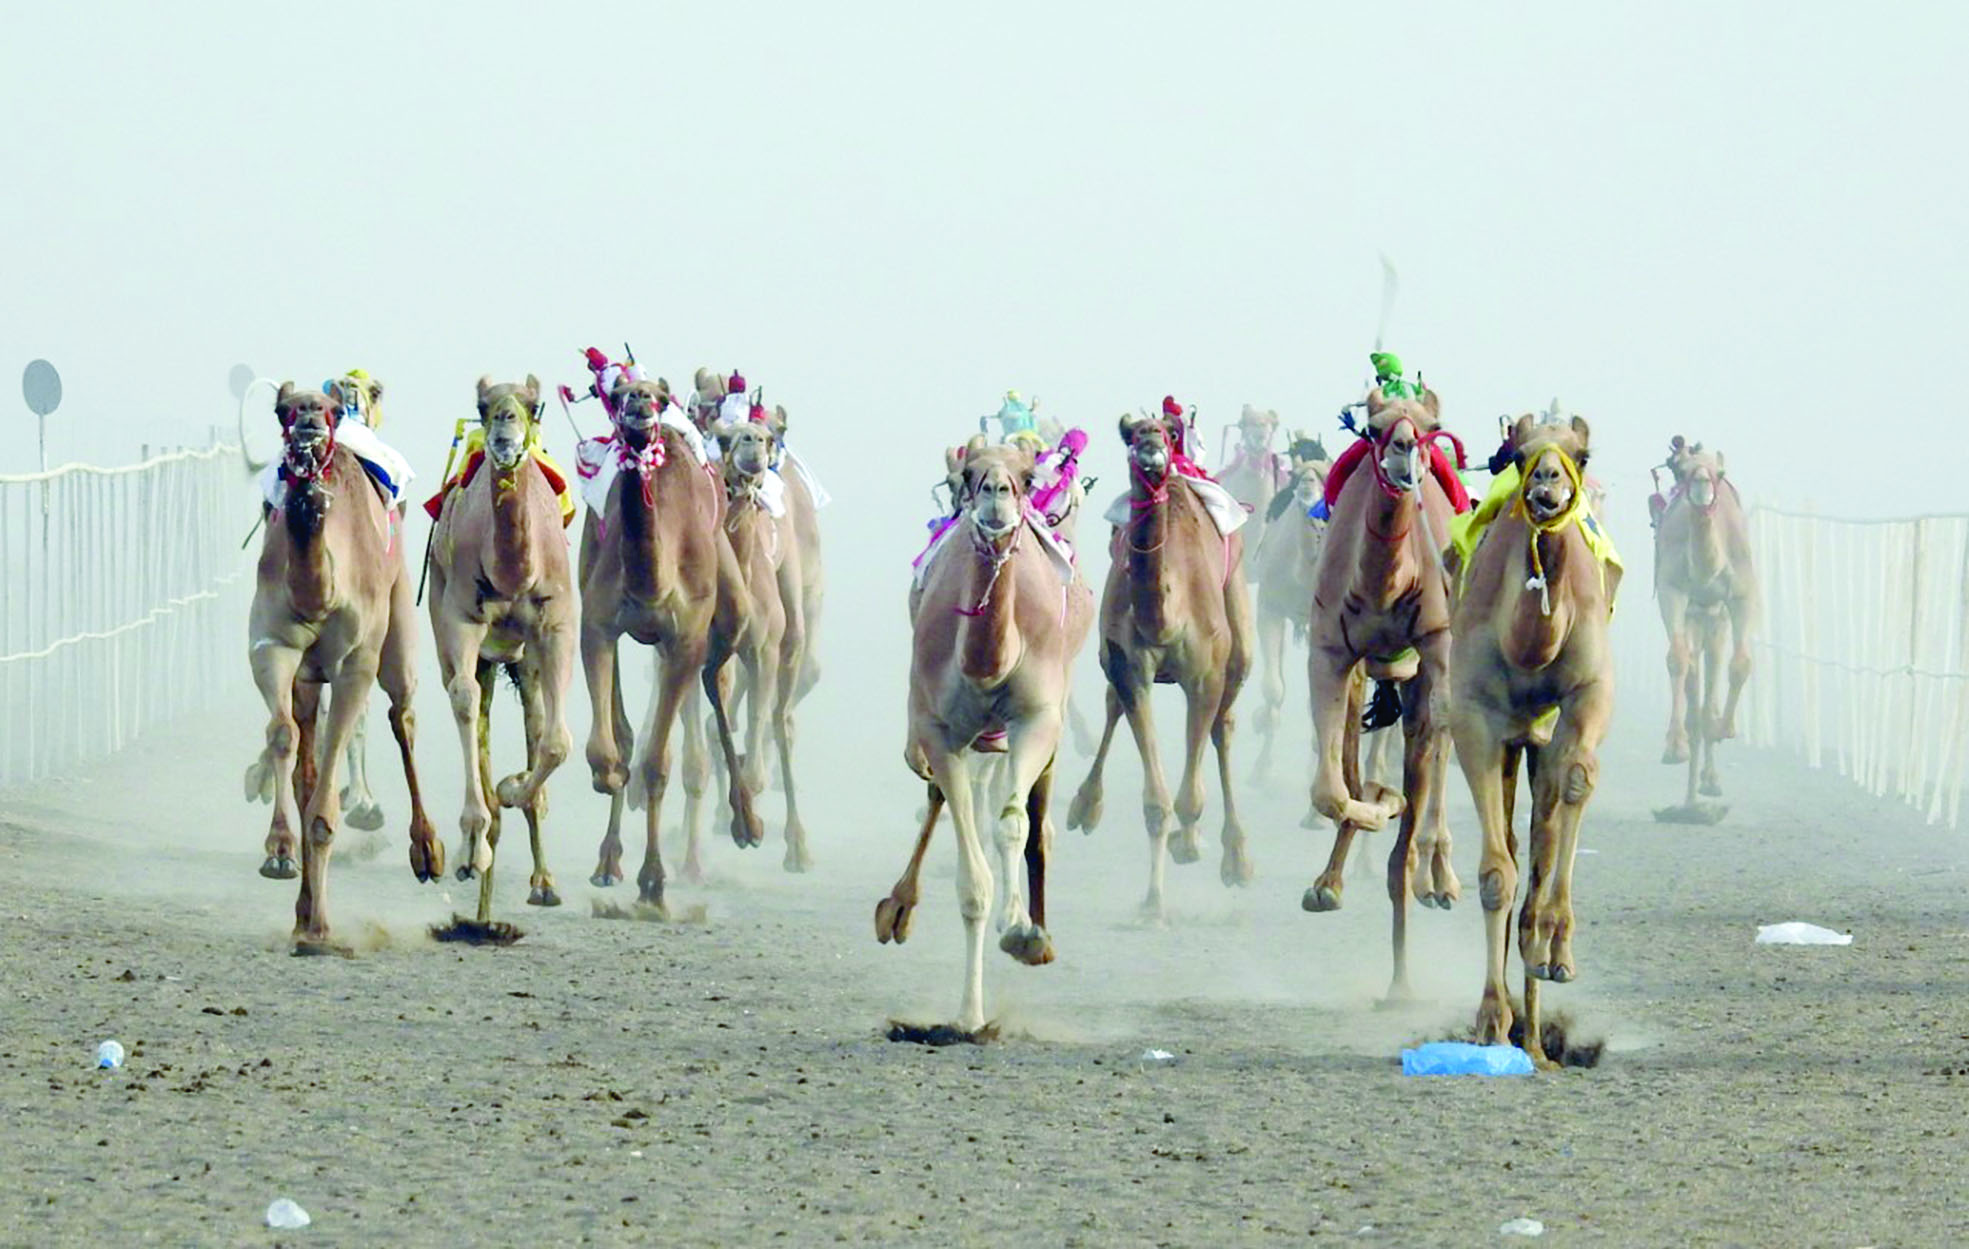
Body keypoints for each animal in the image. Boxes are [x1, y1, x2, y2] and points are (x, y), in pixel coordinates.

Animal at [427, 374, 578, 918]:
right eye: (482, 405)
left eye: (534, 406)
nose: (504, 435)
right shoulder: (461, 618)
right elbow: (463, 700)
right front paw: (473, 844)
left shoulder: (558, 624)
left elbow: (557, 741)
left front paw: (514, 787)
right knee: (473, 701)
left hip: (522, 659)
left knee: (535, 717)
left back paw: (544, 882)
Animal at [874, 437, 1094, 1032]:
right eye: (966, 474)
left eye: (1027, 475)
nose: (996, 491)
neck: (989, 663)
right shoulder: (939, 731)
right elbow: (972, 884)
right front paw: (969, 1016)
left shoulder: (1036, 718)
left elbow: (1013, 825)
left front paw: (1019, 930)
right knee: (938, 797)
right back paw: (896, 909)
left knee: (1036, 818)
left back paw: (1037, 933)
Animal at [1071, 411, 1252, 914]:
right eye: (1132, 434)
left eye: (1168, 434)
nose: (1152, 445)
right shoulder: (1130, 668)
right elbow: (1156, 802)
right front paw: (1153, 904)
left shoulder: (1205, 675)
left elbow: (1191, 795)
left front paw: (1188, 844)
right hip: (1109, 657)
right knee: (1112, 703)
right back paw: (1084, 806)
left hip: (1238, 627)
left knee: (1224, 725)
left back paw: (1236, 857)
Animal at [1307, 384, 1464, 996]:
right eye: (1373, 429)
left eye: (1430, 427)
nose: (1403, 453)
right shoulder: (1329, 653)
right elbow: (1332, 792)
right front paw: (1379, 803)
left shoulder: (1439, 644)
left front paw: (1430, 870)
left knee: (1432, 752)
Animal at [1449, 415, 1614, 1063]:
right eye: (1518, 456)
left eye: (1582, 456)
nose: (1547, 481)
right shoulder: (1474, 716)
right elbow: (1497, 874)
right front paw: (1491, 1022)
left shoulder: (1590, 690)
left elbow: (1579, 783)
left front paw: (1556, 947)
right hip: (1512, 742)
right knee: (1516, 854)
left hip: (1538, 739)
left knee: (1545, 833)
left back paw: (1542, 1034)